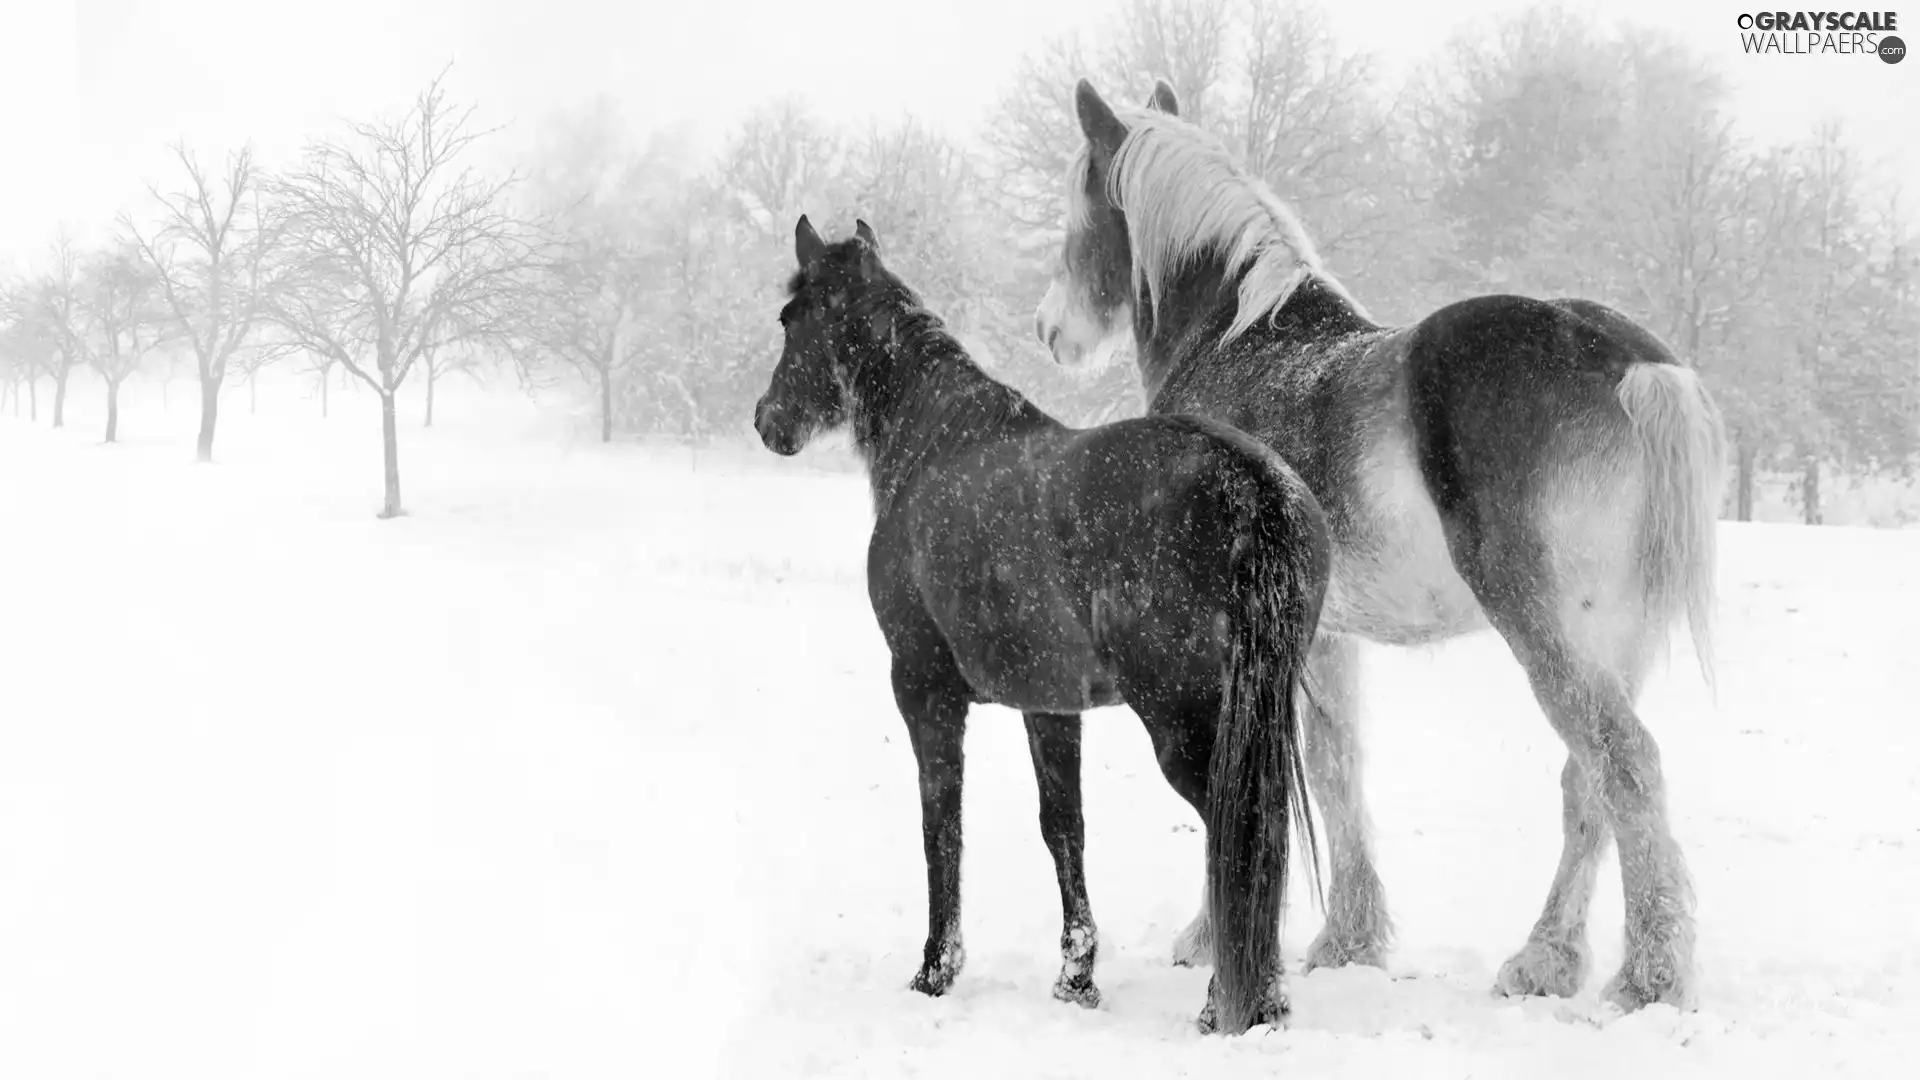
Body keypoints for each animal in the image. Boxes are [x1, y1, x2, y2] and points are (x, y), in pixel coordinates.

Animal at [752, 214, 1336, 1030]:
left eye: (790, 317)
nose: (767, 421)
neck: (935, 445)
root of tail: (1248, 481)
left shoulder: (924, 690)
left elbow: (941, 825)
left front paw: (935, 970)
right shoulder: (1050, 706)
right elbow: (1064, 829)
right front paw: (1076, 977)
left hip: (1186, 722)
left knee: (1238, 830)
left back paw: (1233, 1003)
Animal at [1044, 77, 1735, 1006]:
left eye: (1079, 206)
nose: (1050, 330)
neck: (1241, 345)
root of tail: (1632, 364)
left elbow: (1241, 770)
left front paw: (1209, 936)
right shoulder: (1326, 636)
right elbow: (1337, 769)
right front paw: (1350, 940)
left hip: (1545, 628)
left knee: (1624, 762)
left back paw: (1648, 976)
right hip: (1613, 637)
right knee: (1586, 780)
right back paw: (1545, 960)